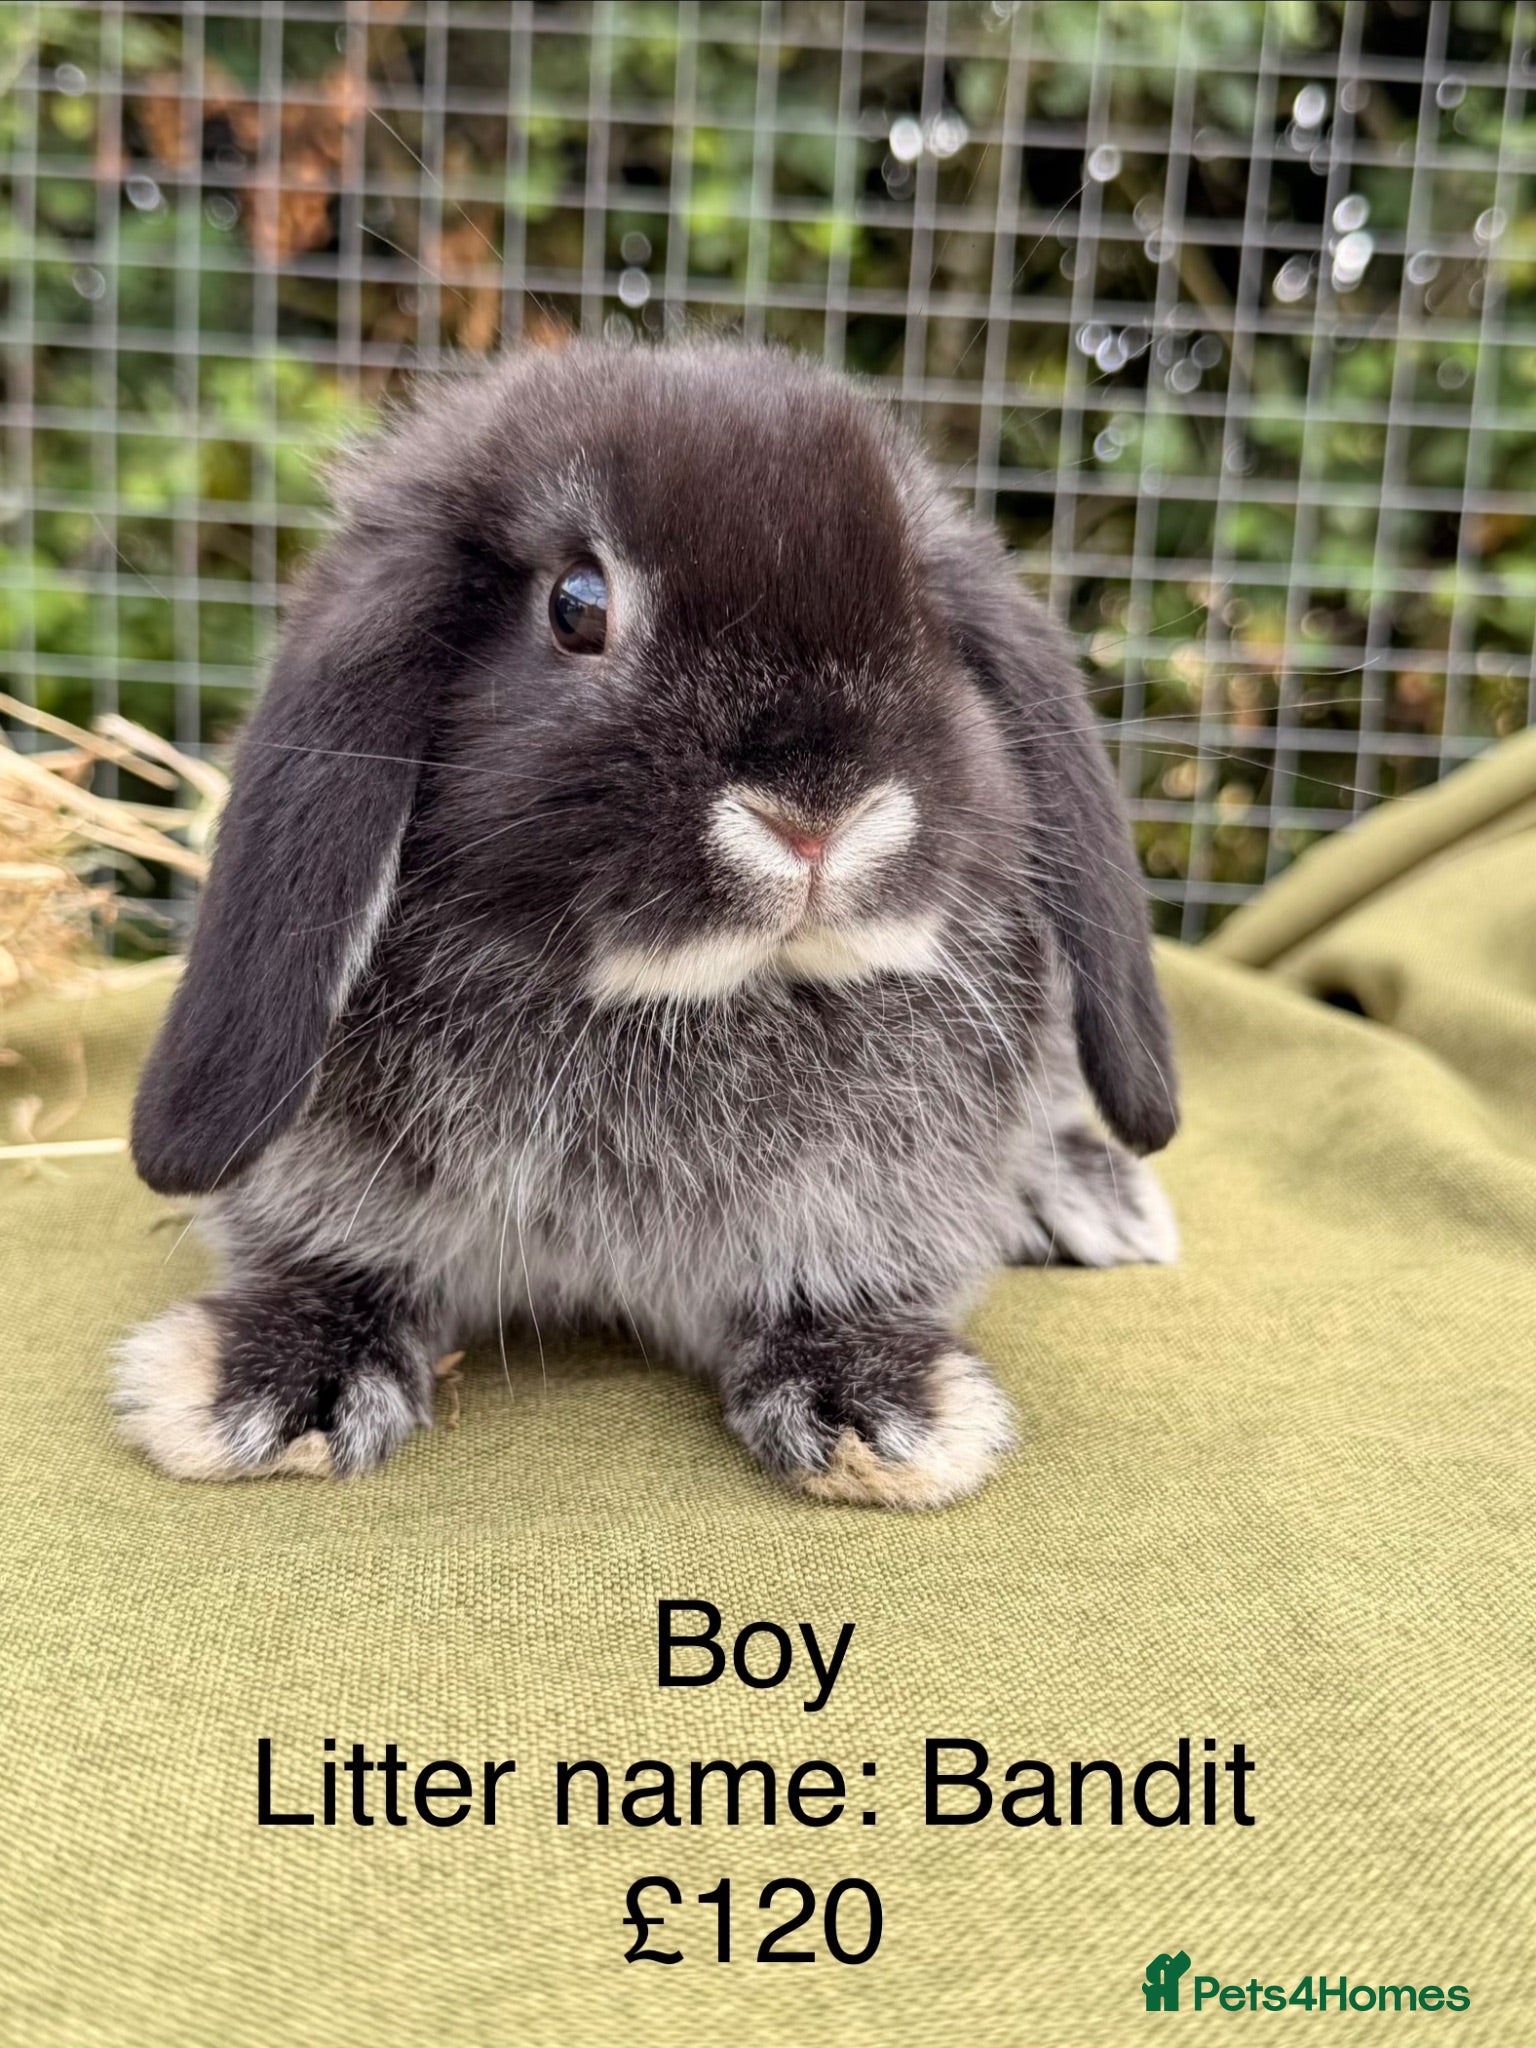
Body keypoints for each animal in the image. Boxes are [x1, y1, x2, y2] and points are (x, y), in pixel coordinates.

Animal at [115, 341, 1178, 1508]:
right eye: (577, 605)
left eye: (929, 618)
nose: (816, 817)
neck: (680, 1003)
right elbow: (330, 1265)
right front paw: (272, 1388)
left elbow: (840, 1288)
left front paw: (879, 1409)